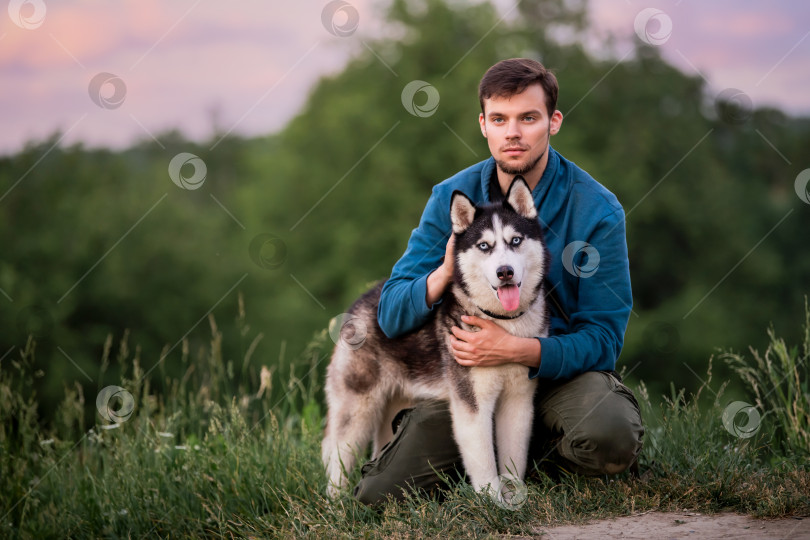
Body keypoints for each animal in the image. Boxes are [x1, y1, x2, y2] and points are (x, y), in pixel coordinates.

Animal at [322, 177, 548, 502]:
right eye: (484, 246)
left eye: (515, 240)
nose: (504, 272)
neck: (504, 324)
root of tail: (360, 302)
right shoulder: (472, 406)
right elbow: (484, 465)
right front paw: (493, 505)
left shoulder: (518, 400)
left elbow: (512, 460)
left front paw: (515, 499)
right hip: (357, 408)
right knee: (337, 456)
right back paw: (336, 503)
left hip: (394, 405)